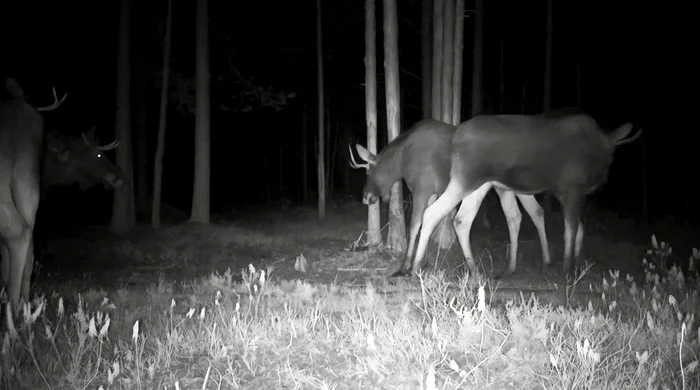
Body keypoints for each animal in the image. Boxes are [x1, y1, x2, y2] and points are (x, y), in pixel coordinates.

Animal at [350, 119, 552, 278]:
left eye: (368, 171)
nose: (366, 197)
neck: (401, 162)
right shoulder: (432, 193)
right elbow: (425, 224)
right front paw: (422, 262)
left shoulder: (421, 190)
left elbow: (415, 225)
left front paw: (406, 266)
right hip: (509, 187)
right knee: (526, 213)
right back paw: (532, 265)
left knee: (525, 213)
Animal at [408, 109, 644, 278]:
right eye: (612, 155)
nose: (602, 180)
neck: (600, 144)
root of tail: (454, 137)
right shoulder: (572, 188)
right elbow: (570, 230)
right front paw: (567, 270)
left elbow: (577, 228)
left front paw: (574, 262)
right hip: (466, 180)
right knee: (432, 212)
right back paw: (416, 266)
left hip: (480, 183)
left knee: (462, 219)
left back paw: (476, 270)